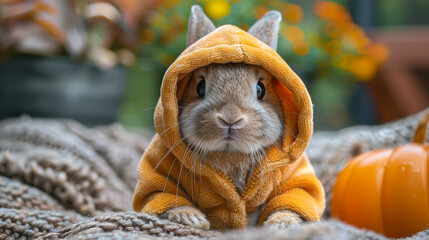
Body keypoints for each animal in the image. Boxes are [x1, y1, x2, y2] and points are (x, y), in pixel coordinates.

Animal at [159, 4, 302, 231]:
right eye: (200, 87)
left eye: (260, 89)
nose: (230, 118)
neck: (230, 153)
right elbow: (168, 196)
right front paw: (190, 219)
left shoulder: (292, 178)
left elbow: (291, 199)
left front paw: (282, 224)